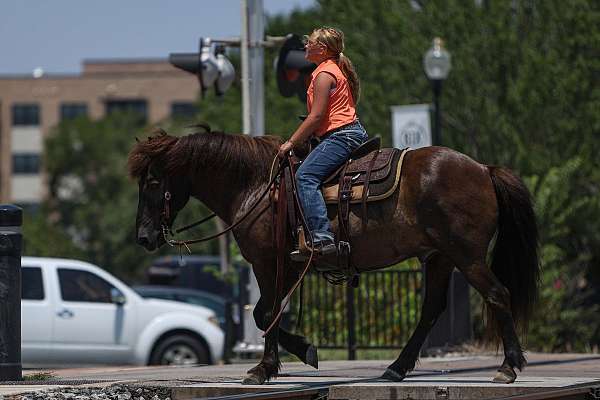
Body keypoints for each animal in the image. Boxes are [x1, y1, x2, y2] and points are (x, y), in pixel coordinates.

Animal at [130, 127, 540, 384]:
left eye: (153, 181)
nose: (144, 237)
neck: (256, 185)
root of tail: (484, 169)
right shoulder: (288, 265)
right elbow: (267, 313)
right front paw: (301, 352)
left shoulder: (266, 262)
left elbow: (268, 313)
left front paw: (265, 368)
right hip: (439, 257)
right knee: (430, 311)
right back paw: (396, 367)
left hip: (466, 255)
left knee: (498, 295)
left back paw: (509, 366)